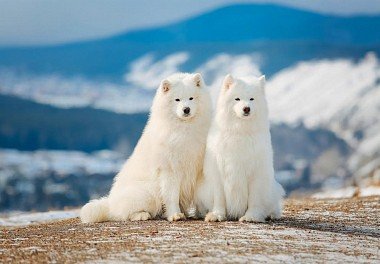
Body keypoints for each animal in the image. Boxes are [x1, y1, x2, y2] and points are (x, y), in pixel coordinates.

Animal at [81, 72, 211, 223]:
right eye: (177, 99)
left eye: (191, 98)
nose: (186, 109)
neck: (184, 130)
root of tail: (110, 203)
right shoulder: (169, 170)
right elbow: (171, 196)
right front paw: (175, 215)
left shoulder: (198, 168)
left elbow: (200, 194)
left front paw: (202, 213)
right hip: (148, 193)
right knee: (121, 214)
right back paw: (142, 215)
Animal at [197, 73, 284, 222]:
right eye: (237, 98)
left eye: (252, 99)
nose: (246, 108)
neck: (240, 131)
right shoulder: (218, 172)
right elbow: (219, 198)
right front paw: (217, 215)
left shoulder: (256, 173)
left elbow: (254, 199)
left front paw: (251, 216)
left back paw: (272, 214)